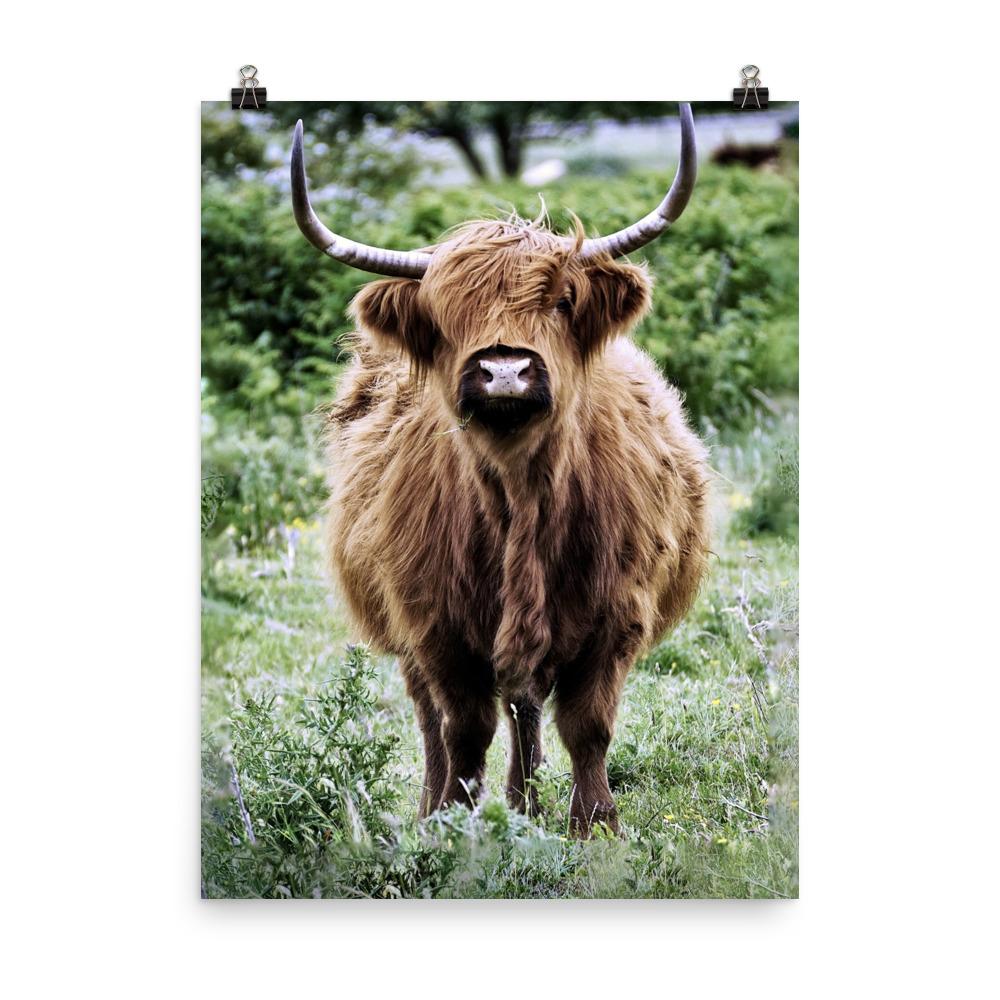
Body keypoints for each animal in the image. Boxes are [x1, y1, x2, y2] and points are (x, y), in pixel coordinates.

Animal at [291, 104, 710, 836]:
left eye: (563, 301)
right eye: (444, 313)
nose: (505, 370)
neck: (521, 496)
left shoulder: (617, 617)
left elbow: (587, 725)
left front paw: (594, 826)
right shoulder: (435, 626)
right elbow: (463, 728)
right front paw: (453, 824)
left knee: (526, 703)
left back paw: (526, 801)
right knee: (439, 718)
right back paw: (450, 806)